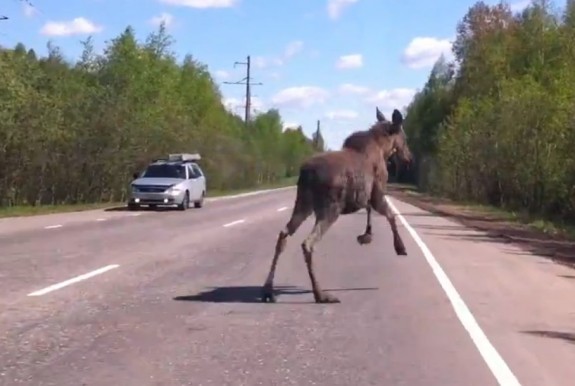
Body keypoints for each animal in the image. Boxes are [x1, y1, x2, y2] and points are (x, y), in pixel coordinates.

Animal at [260, 107, 414, 304]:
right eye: (405, 137)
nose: (409, 157)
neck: (384, 148)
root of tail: (306, 174)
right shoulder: (377, 194)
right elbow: (390, 216)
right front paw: (399, 247)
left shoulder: (365, 198)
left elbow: (371, 213)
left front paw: (366, 235)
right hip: (330, 209)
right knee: (307, 243)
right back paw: (320, 294)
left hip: (302, 205)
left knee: (283, 235)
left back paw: (268, 289)